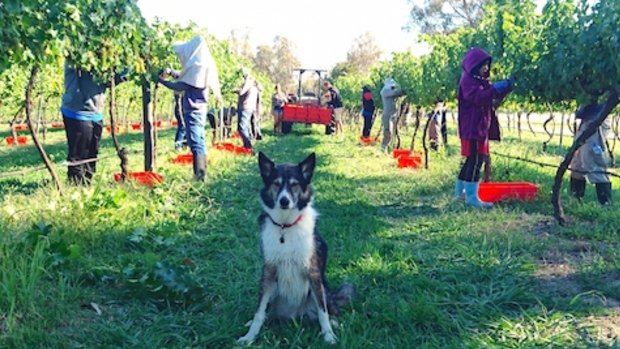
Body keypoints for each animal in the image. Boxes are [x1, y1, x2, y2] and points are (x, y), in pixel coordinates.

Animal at [237, 151, 354, 344]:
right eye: (276, 183)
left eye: (295, 184)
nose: (284, 201)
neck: (285, 226)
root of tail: (294, 315)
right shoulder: (268, 272)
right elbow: (259, 312)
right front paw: (249, 337)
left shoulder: (313, 272)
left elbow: (323, 312)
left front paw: (329, 336)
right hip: (274, 290)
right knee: (268, 313)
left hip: (321, 289)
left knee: (327, 309)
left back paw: (335, 324)